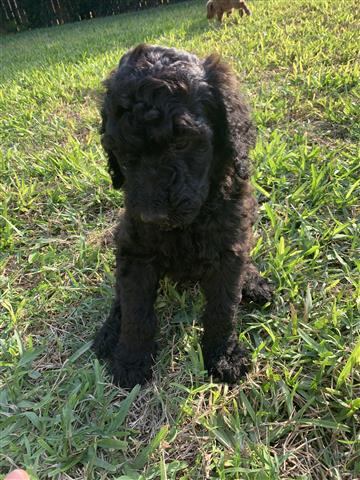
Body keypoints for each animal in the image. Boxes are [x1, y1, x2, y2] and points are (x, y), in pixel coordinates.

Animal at [94, 44, 272, 390]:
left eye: (182, 141)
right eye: (123, 153)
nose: (153, 216)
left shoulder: (229, 246)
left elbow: (223, 307)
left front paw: (223, 356)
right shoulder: (135, 250)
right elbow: (135, 309)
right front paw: (131, 360)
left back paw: (254, 282)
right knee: (120, 297)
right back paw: (109, 332)